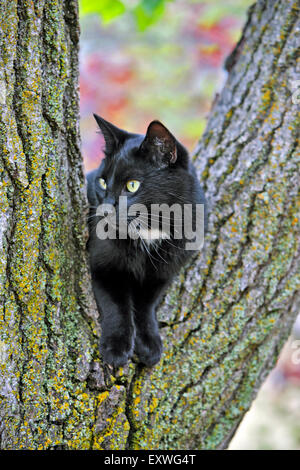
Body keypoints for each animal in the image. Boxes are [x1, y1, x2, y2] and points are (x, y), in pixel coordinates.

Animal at [86, 114, 206, 368]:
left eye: (132, 185)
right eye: (102, 183)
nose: (103, 210)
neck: (150, 231)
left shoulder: (163, 272)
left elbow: (145, 305)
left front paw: (149, 344)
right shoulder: (102, 265)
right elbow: (116, 303)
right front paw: (117, 347)